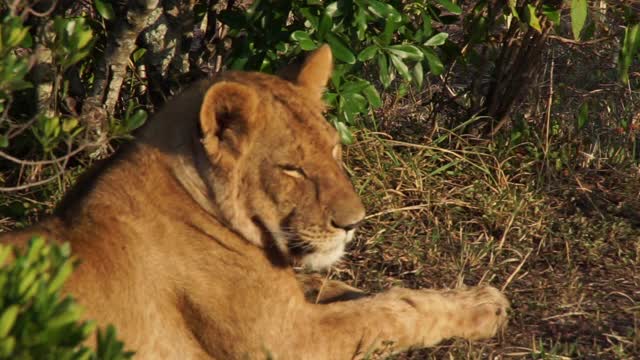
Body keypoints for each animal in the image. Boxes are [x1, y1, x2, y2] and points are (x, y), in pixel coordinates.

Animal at [1, 46, 510, 358]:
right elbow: (389, 313)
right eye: (292, 169)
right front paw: (485, 307)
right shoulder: (289, 340)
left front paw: (472, 299)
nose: (353, 223)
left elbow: (368, 293)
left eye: (334, 151)